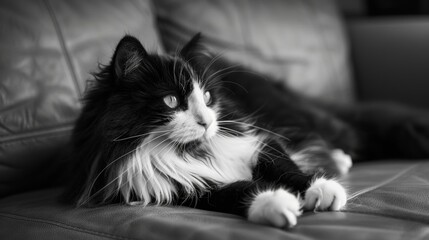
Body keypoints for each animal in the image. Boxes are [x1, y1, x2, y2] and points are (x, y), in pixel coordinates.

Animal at [63, 32, 428, 228]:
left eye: (208, 98)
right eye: (171, 100)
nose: (207, 122)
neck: (196, 153)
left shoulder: (256, 141)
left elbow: (286, 168)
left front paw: (323, 190)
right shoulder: (174, 187)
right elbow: (235, 191)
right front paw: (277, 204)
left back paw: (339, 161)